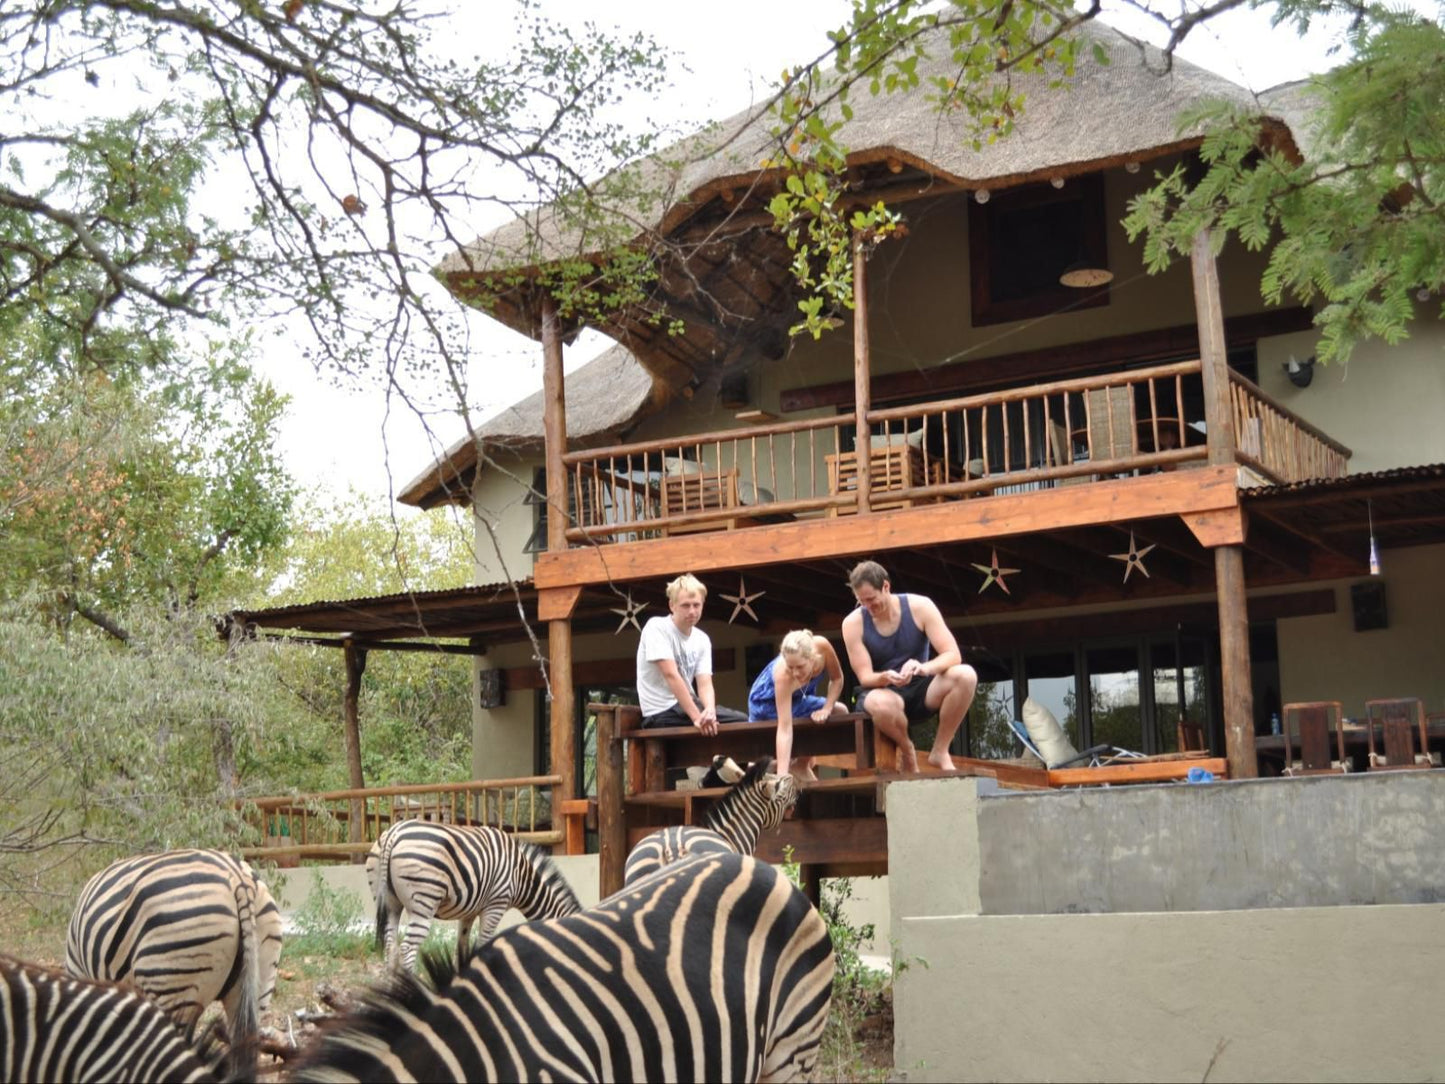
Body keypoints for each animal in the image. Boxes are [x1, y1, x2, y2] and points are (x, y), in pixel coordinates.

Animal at [369, 820, 583, 977]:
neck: (521, 877)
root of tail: (393, 833)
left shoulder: (469, 911)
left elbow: (462, 948)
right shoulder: (495, 905)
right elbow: (482, 945)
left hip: (390, 903)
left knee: (390, 945)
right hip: (423, 903)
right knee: (407, 948)